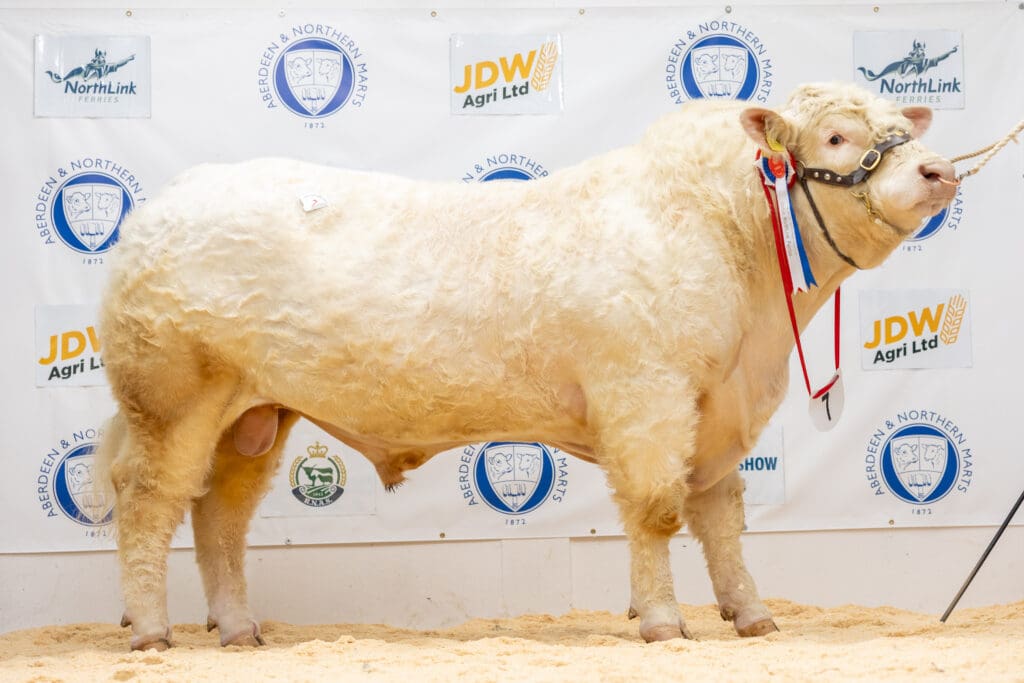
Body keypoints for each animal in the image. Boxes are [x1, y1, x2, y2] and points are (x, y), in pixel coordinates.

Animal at [97, 82, 957, 651]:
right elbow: (657, 509)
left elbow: (720, 516)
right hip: (173, 399)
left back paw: (239, 627)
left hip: (253, 415)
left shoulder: (718, 408)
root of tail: (167, 202)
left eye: (903, 128)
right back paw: (151, 630)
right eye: (838, 137)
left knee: (220, 516)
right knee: (148, 501)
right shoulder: (646, 394)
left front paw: (751, 614)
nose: (938, 170)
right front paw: (662, 621)